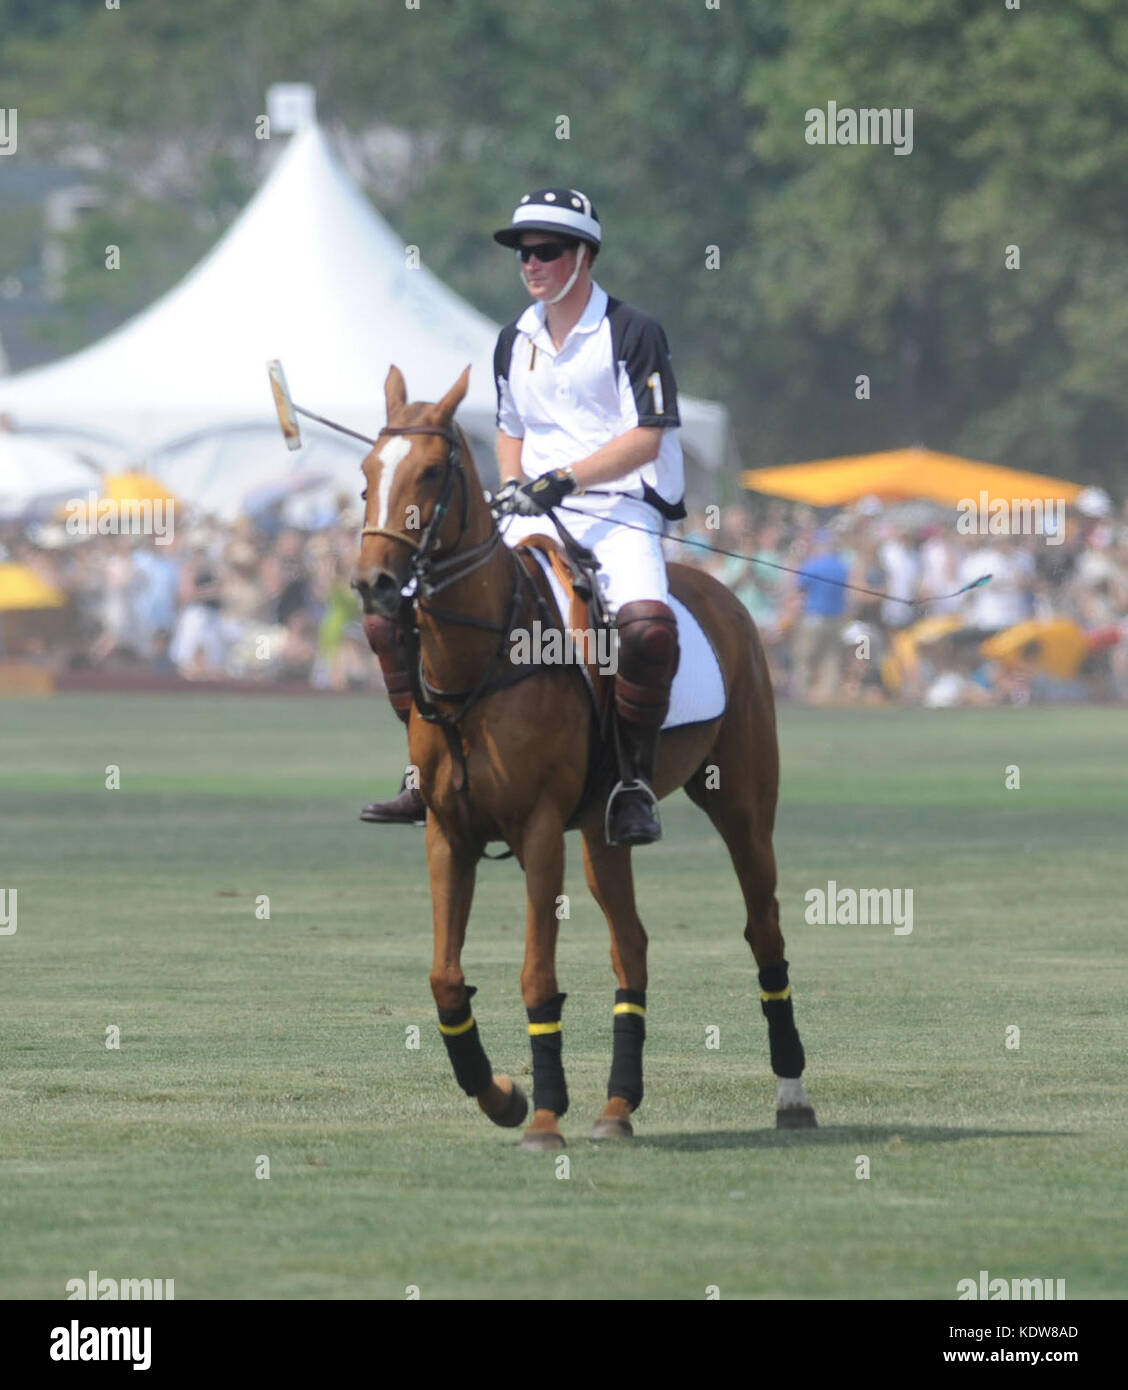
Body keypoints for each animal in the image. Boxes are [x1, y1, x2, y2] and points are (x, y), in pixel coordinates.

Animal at [348, 364, 816, 1145]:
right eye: (366, 473)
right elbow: (445, 977)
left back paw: (792, 1094)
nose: (375, 584)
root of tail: (720, 593)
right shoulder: (450, 832)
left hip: (744, 804)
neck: (482, 660)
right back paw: (618, 1105)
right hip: (603, 829)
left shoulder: (539, 830)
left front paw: (542, 1115)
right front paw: (501, 1095)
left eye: (434, 470)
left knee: (764, 931)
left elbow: (537, 974)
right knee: (634, 944)